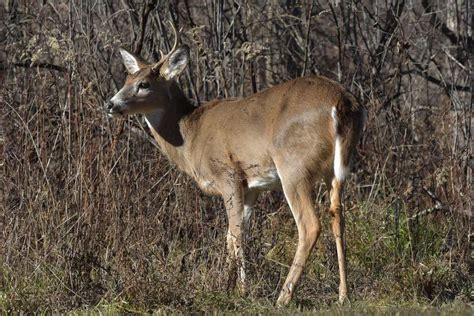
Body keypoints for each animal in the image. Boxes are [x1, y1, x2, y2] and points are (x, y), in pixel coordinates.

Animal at [105, 24, 366, 306]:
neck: (190, 134)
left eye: (144, 84)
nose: (111, 104)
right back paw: (343, 295)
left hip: (293, 166)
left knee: (309, 225)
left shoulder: (227, 174)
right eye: (125, 81)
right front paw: (225, 285)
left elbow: (236, 232)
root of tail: (341, 102)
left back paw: (283, 297)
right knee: (338, 216)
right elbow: (234, 234)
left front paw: (241, 290)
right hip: (336, 170)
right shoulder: (251, 186)